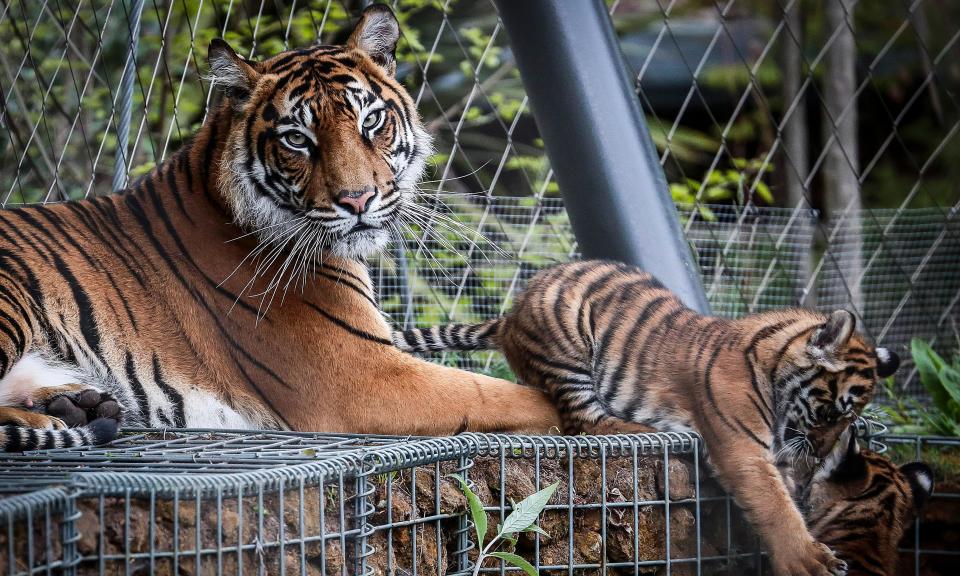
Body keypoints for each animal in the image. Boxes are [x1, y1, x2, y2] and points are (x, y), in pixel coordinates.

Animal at [0, 5, 560, 454]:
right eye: (296, 139)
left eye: (371, 122)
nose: (358, 200)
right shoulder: (361, 373)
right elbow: (507, 396)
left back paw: (76, 404)